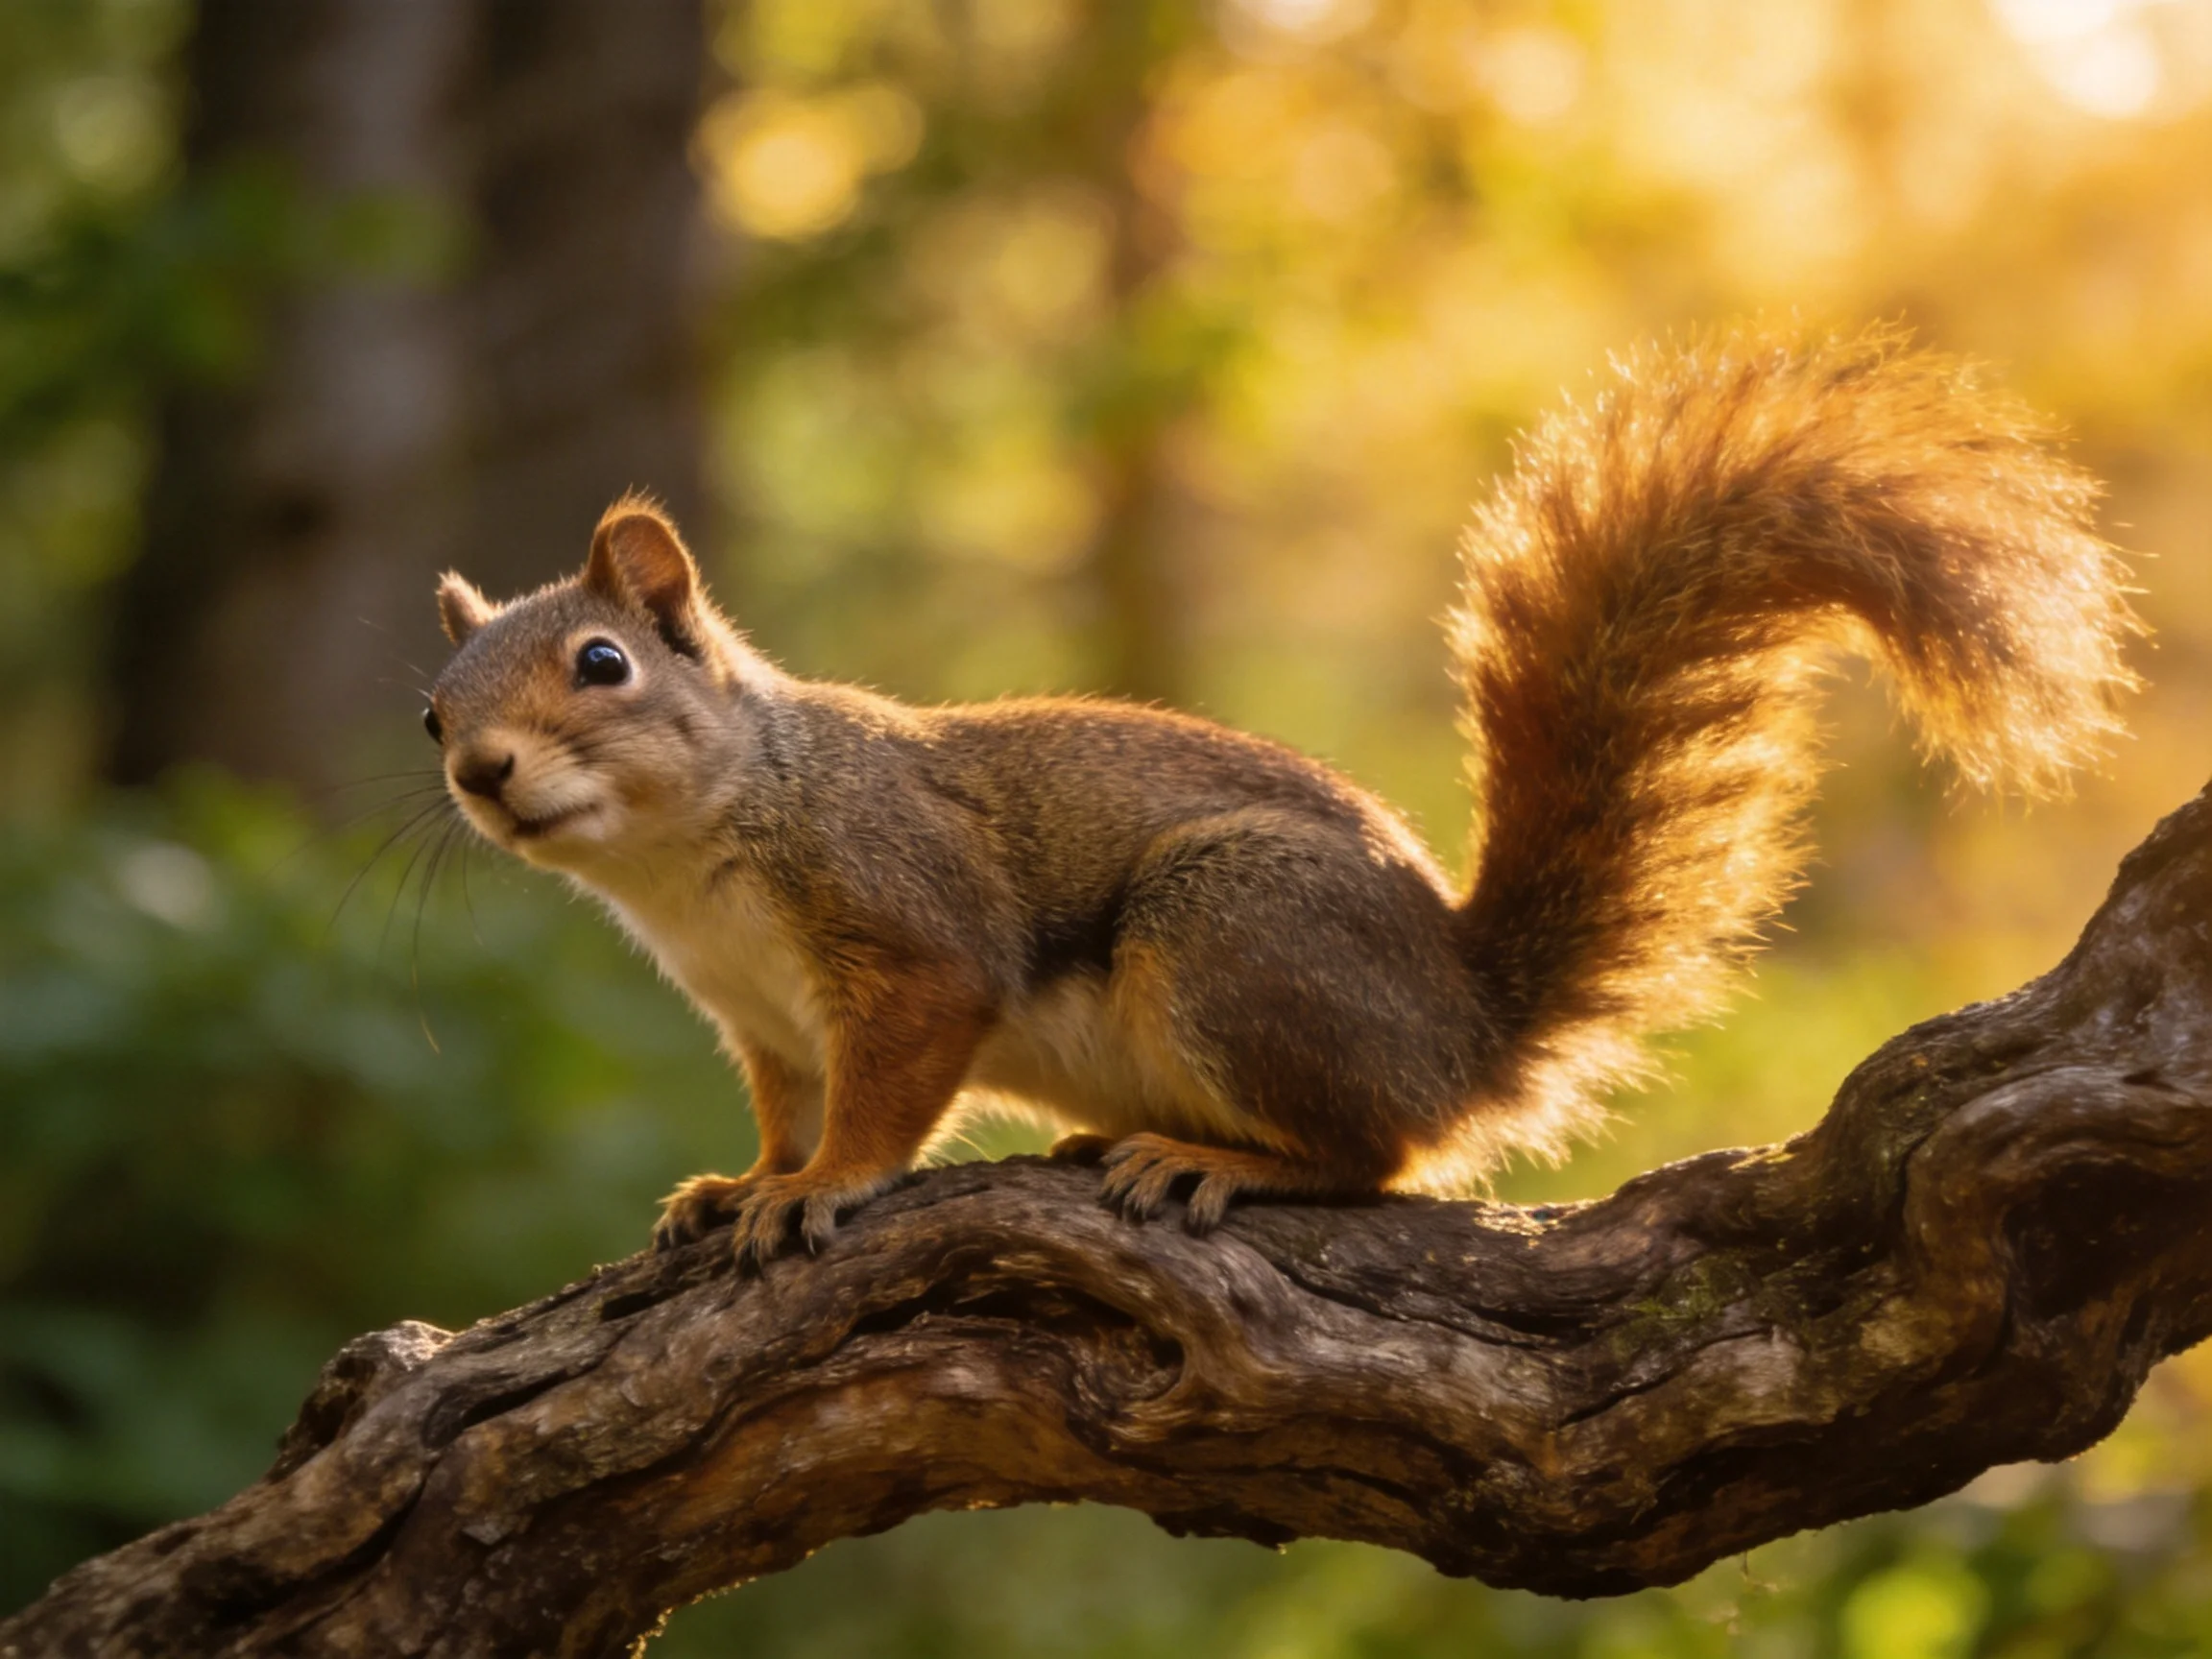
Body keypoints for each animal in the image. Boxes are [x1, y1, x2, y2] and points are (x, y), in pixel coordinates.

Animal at [425, 326, 2139, 1267]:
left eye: (599, 665)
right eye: (432, 709)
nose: (480, 773)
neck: (695, 856)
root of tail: (1466, 1030)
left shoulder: (904, 931)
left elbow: (892, 1088)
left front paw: (827, 1192)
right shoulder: (765, 1023)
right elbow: (784, 1114)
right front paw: (743, 1187)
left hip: (1234, 933)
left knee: (1374, 1159)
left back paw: (1223, 1162)